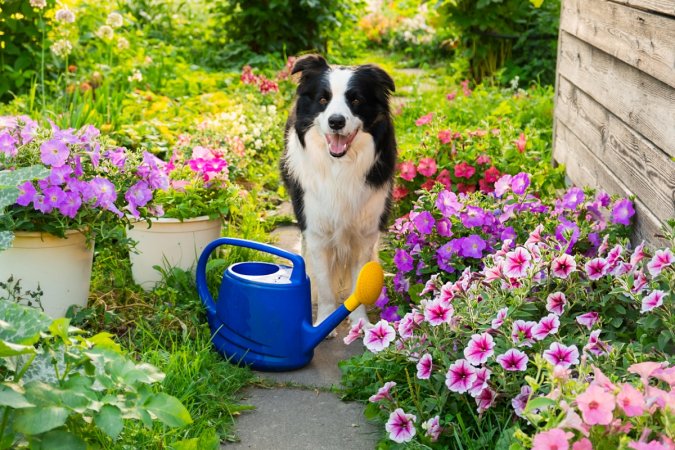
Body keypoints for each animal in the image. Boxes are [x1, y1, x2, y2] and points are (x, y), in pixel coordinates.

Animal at [280, 54, 396, 326]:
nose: (336, 121)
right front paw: (324, 320)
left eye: (356, 100)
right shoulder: (316, 231)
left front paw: (360, 323)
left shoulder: (364, 234)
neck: (339, 166)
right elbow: (325, 286)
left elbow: (358, 284)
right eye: (323, 99)